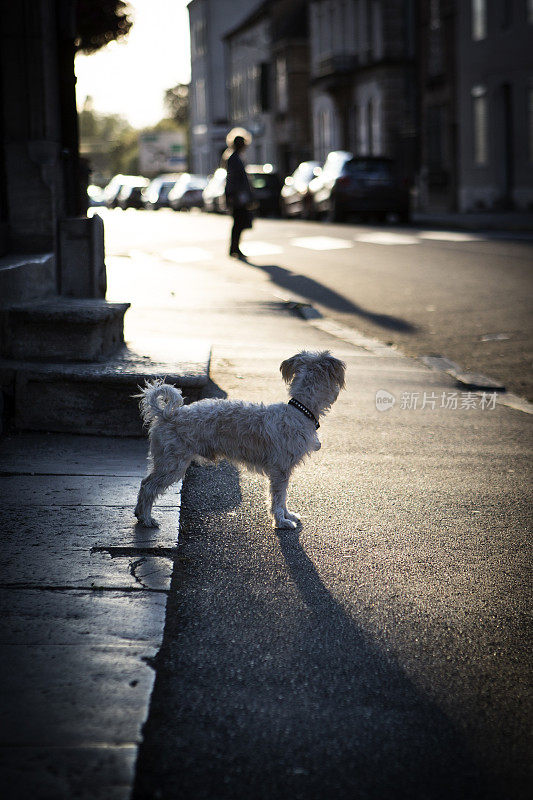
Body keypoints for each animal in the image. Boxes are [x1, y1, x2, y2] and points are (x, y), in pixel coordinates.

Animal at [134, 352, 344, 532]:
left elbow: (283, 498)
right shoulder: (280, 470)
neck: (300, 411)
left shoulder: (283, 471)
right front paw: (281, 522)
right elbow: (277, 498)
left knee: (145, 483)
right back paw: (147, 519)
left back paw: (139, 515)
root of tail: (166, 414)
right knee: (148, 486)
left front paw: (288, 515)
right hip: (173, 464)